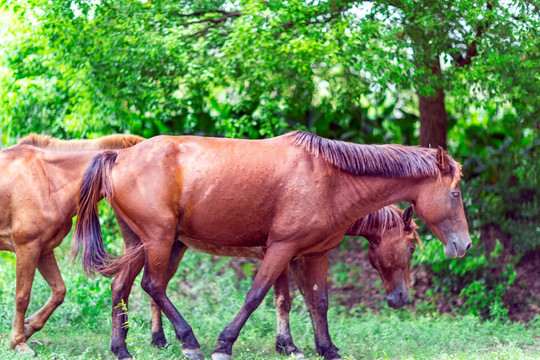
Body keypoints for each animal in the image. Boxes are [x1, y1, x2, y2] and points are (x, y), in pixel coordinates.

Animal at [0, 133, 144, 354]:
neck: (48, 179)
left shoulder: (43, 250)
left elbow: (59, 291)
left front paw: (27, 328)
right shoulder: (27, 248)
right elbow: (22, 297)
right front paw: (19, 342)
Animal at [110, 204, 422, 358]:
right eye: (411, 248)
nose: (402, 298)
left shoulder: (295, 259)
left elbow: (306, 301)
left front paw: (291, 346)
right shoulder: (280, 256)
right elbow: (279, 299)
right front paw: (288, 346)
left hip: (166, 248)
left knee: (130, 287)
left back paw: (146, 342)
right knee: (146, 286)